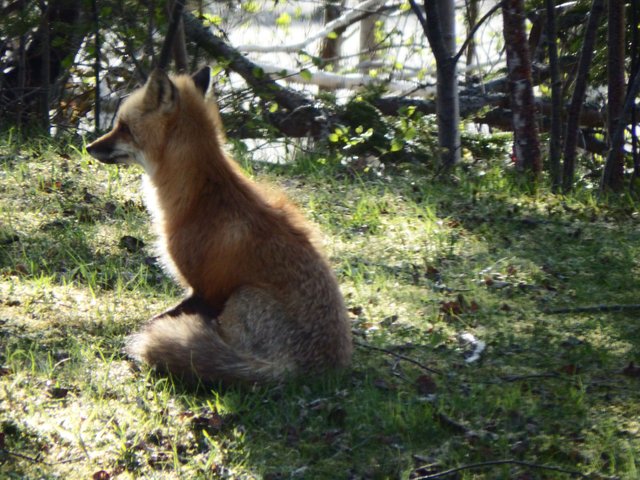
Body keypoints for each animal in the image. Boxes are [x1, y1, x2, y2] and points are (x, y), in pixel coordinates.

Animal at [85, 67, 352, 382]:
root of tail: (302, 372)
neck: (197, 198)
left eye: (124, 127)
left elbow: (154, 321)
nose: (88, 146)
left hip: (242, 297)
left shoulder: (204, 289)